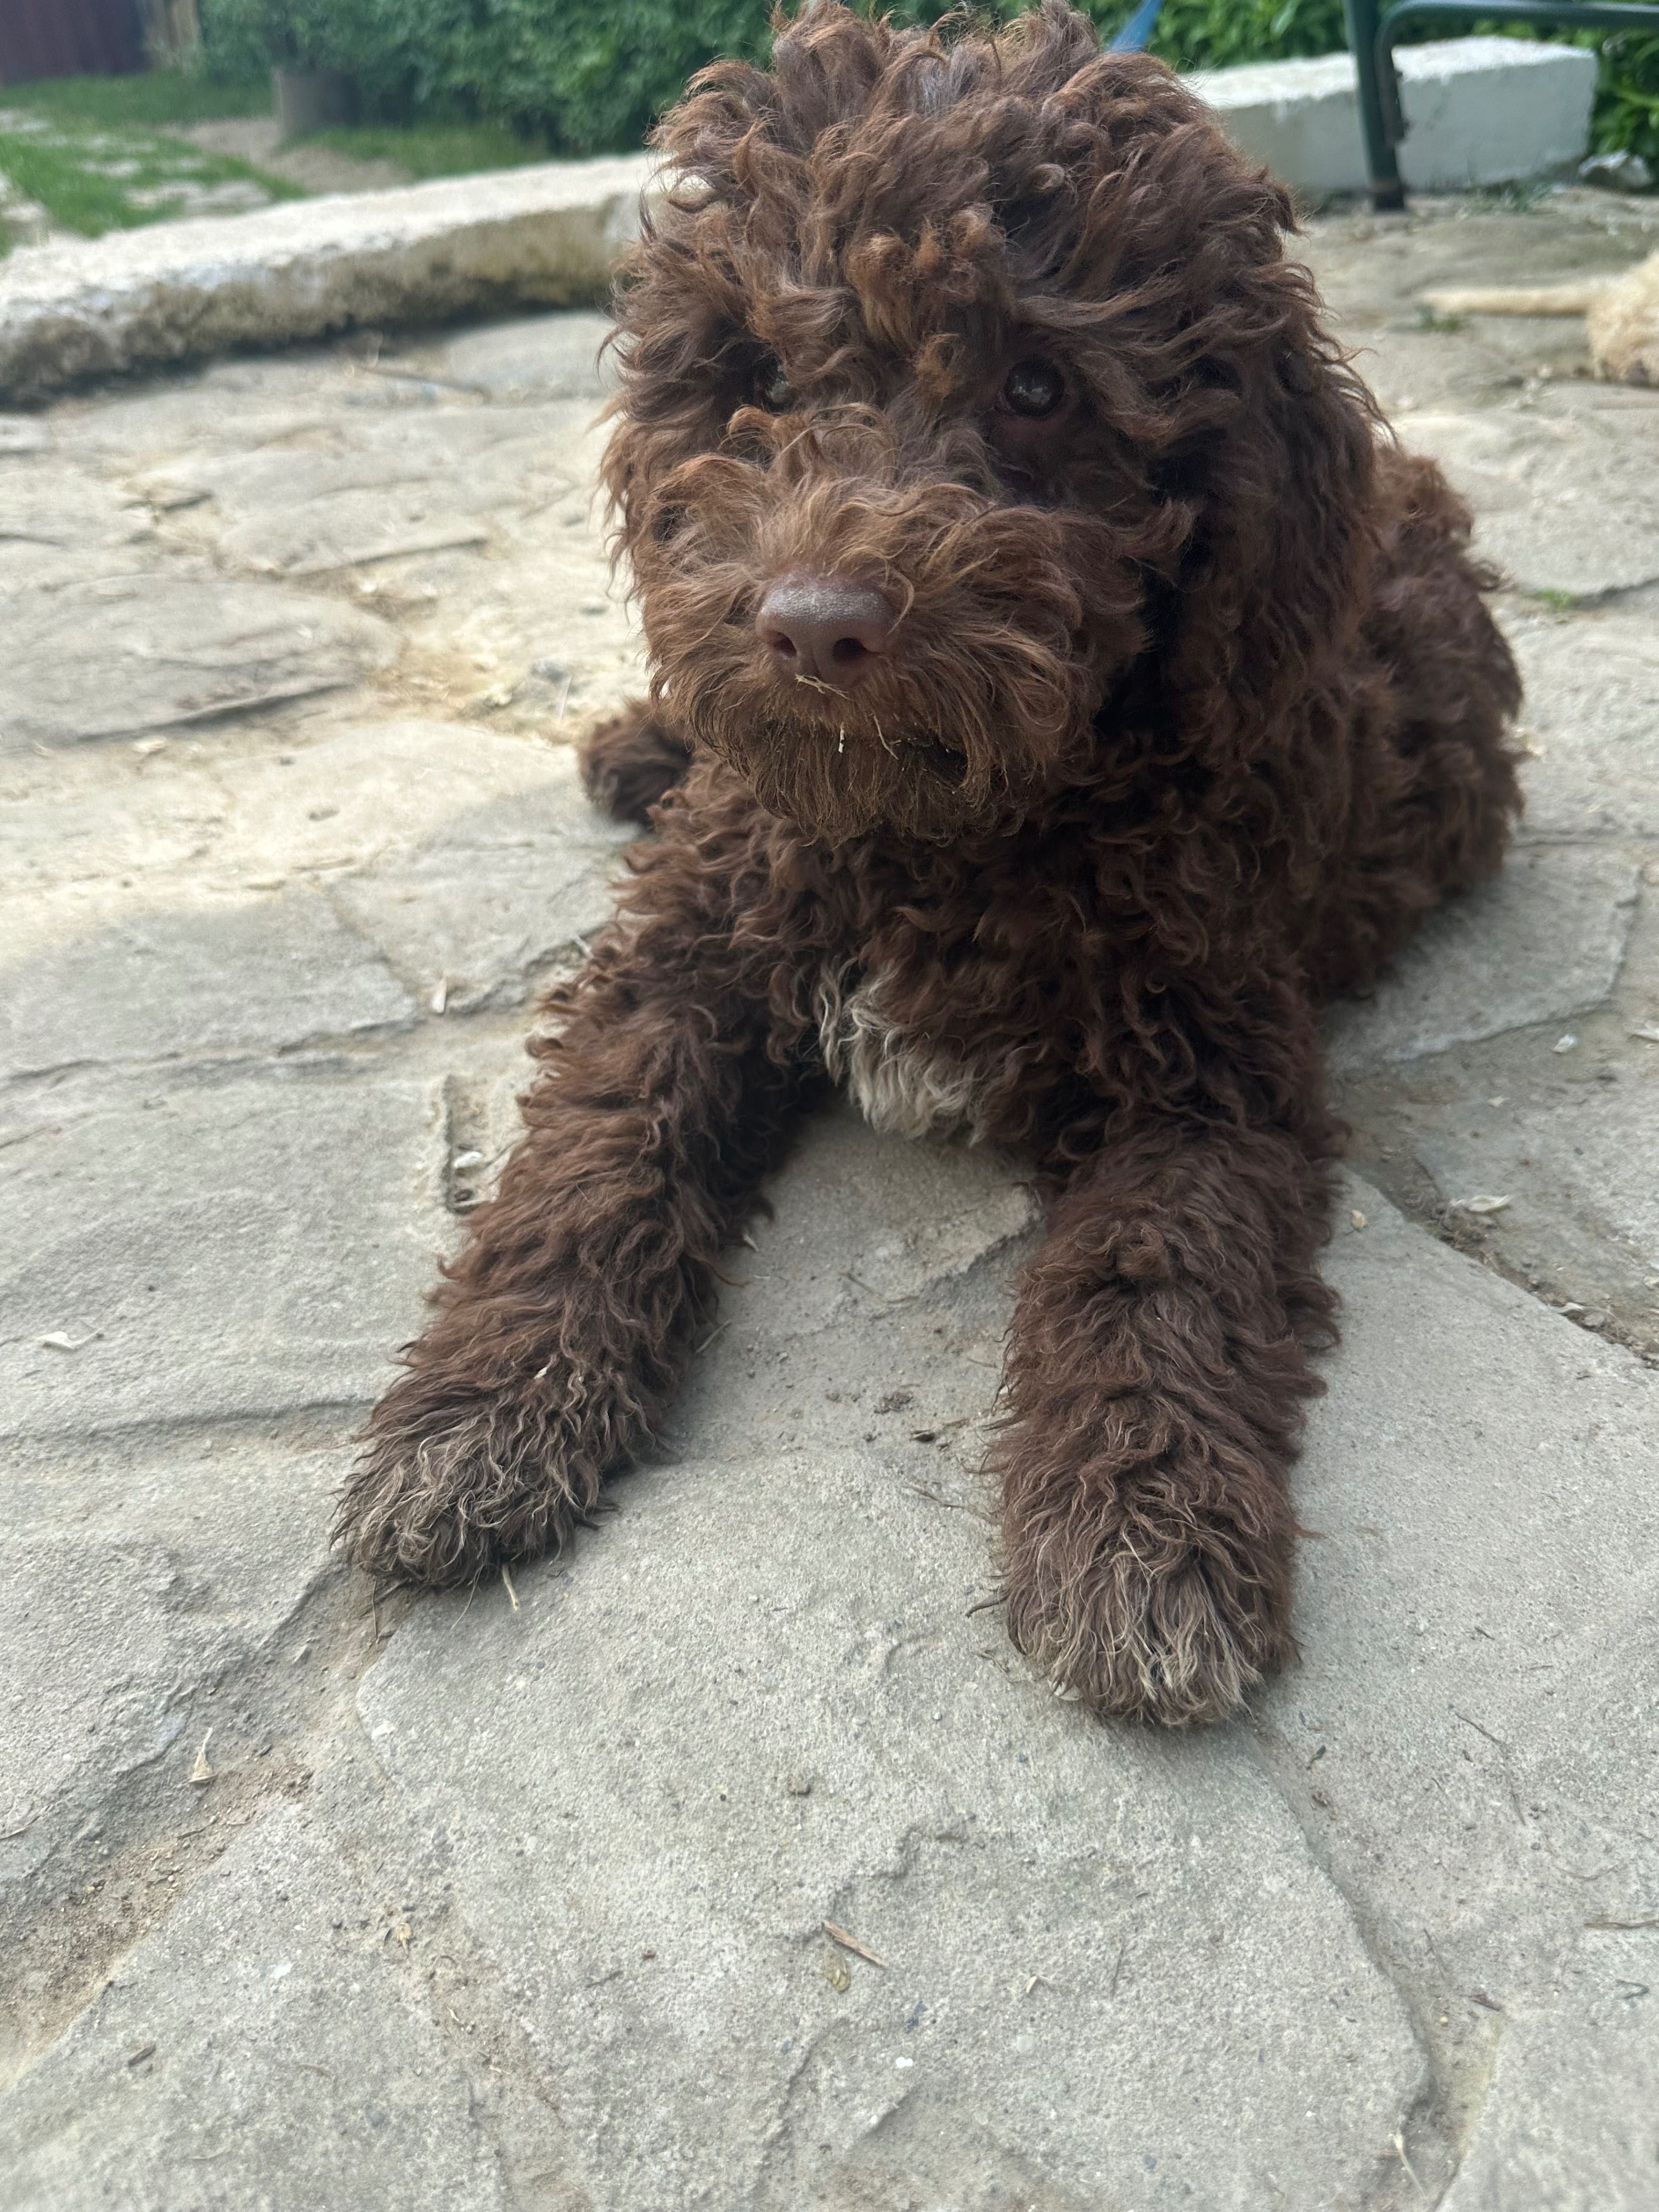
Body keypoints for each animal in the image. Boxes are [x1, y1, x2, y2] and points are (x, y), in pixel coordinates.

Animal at [334, 0, 1522, 1725]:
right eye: (758, 375)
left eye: (1036, 384)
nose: (813, 628)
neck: (935, 824)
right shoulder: (686, 943)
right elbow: (599, 1145)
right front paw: (479, 1415)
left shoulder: (1210, 1061)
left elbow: (1160, 1270)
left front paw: (1142, 1538)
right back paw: (639, 743)